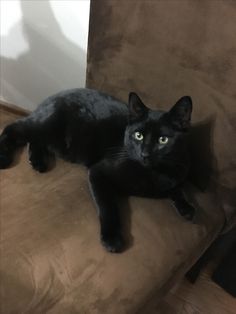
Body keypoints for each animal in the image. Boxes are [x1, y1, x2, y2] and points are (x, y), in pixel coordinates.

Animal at [0, 88, 195, 253]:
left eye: (163, 140)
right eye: (138, 135)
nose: (145, 154)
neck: (151, 173)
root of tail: (56, 94)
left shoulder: (178, 170)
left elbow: (177, 188)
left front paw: (187, 207)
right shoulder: (98, 173)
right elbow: (108, 207)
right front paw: (112, 239)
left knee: (36, 141)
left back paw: (38, 161)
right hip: (46, 127)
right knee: (13, 128)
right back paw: (5, 157)